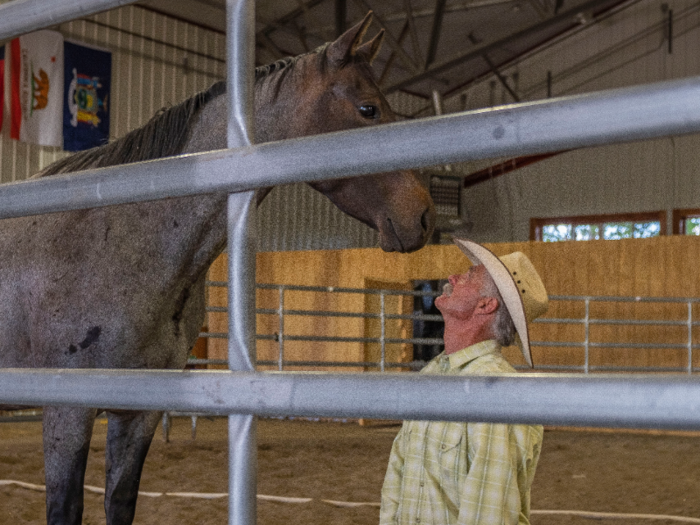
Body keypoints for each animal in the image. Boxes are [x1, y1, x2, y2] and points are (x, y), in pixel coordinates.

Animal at [0, 11, 432, 524]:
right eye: (368, 109)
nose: (423, 216)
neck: (116, 237)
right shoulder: (67, 410)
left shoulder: (139, 411)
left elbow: (120, 501)